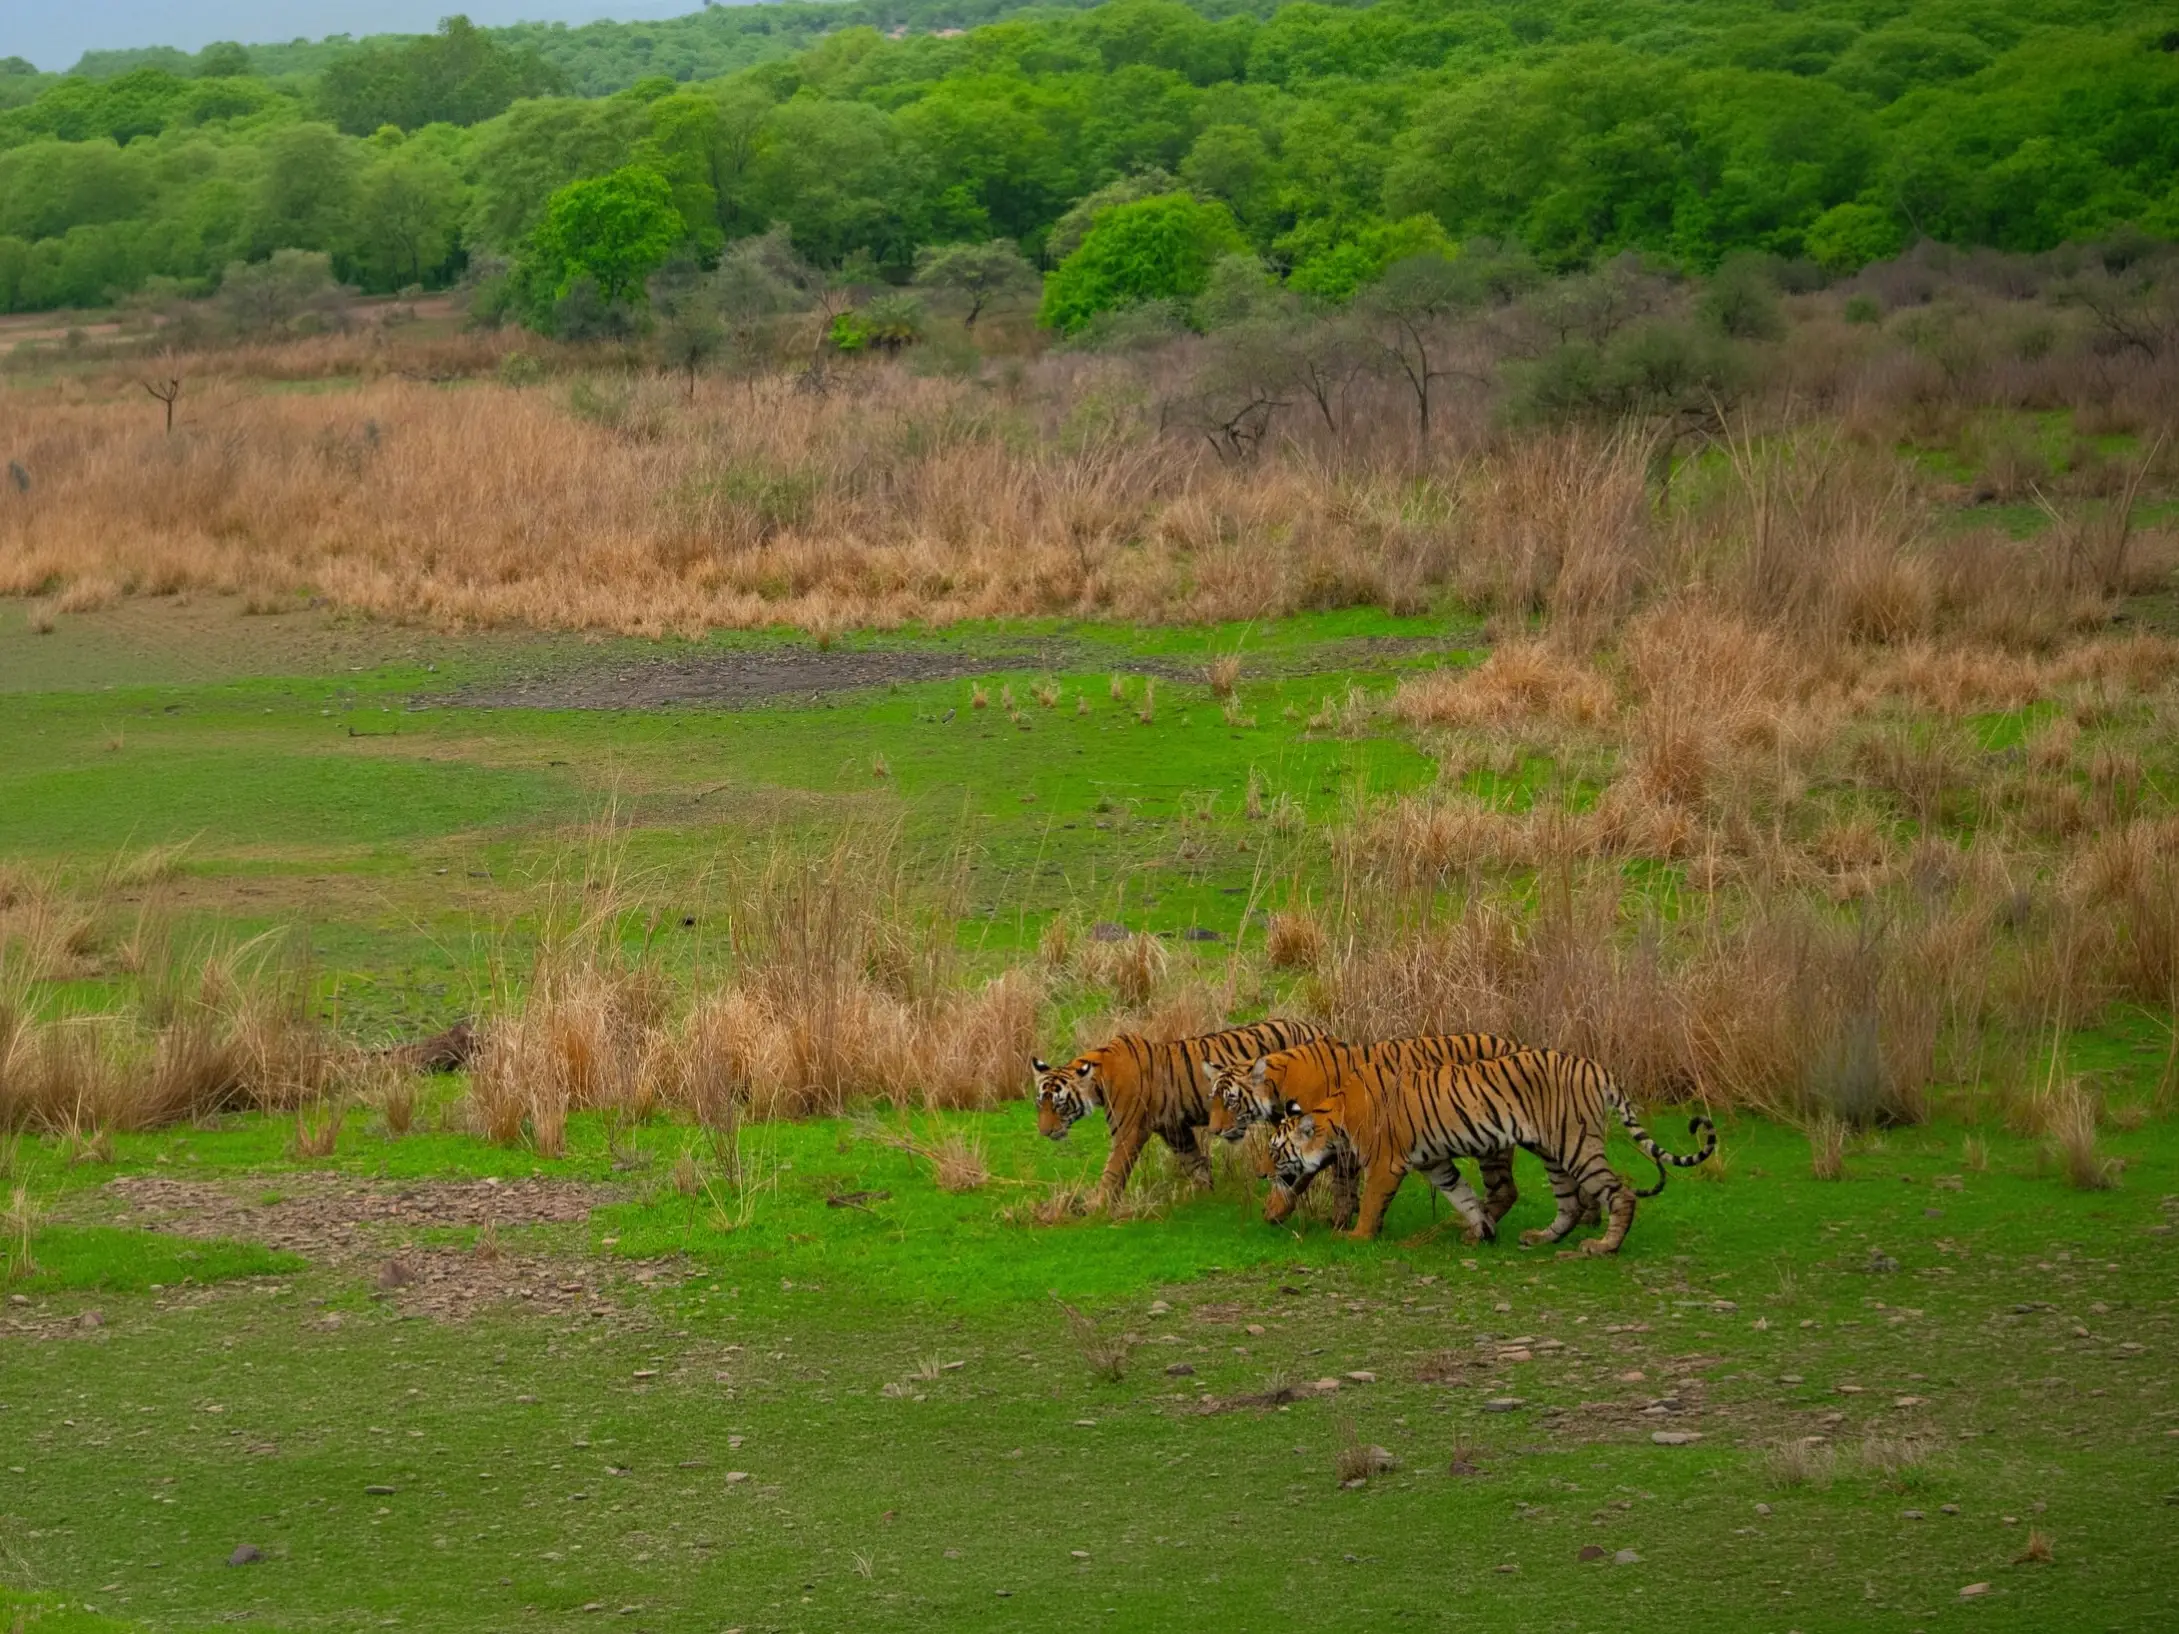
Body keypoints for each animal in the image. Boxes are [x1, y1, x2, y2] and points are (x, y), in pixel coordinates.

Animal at [1031, 1018, 1325, 1205]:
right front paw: (1206, 1195)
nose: (1044, 1132)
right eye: (1039, 1103)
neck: (1099, 1080)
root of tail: (1315, 1026)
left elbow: (1113, 1171)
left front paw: (1098, 1207)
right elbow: (1194, 1162)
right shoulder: (1173, 1128)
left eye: (1058, 1104)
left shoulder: (1128, 1132)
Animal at [1200, 1033, 1545, 1230]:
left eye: (1230, 1101)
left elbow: (1311, 1179)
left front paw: (1281, 1211)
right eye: (1213, 1098)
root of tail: (1517, 1044)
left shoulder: (1327, 1140)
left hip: (1490, 1141)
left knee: (1505, 1190)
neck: (1278, 1087)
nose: (1214, 1130)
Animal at [1264, 1046, 1715, 1255]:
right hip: (1552, 1151)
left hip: (1575, 1143)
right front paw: (1481, 1230)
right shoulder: (1437, 1163)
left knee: (1619, 1193)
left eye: (1276, 1151)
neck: (1335, 1115)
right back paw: (1542, 1237)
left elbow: (1373, 1202)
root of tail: (1597, 1067)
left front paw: (1356, 1236)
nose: (1262, 1174)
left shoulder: (1385, 1164)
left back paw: (1605, 1246)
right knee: (1569, 1203)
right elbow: (1463, 1196)